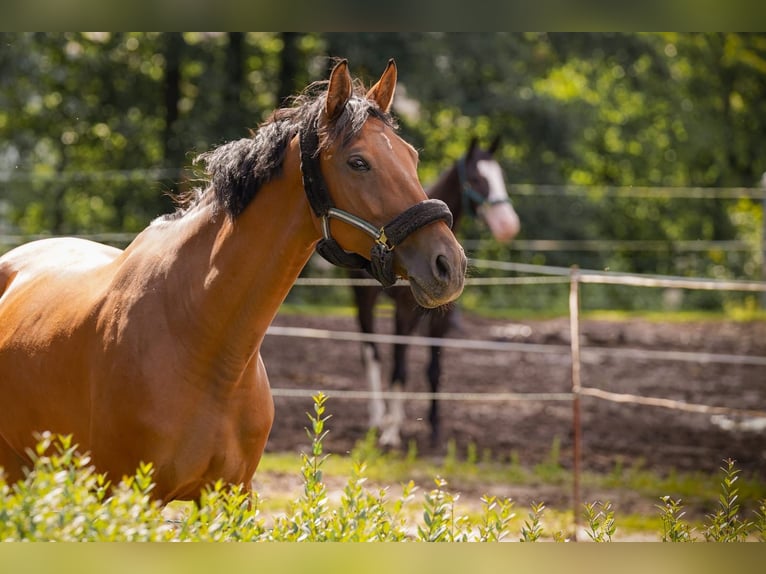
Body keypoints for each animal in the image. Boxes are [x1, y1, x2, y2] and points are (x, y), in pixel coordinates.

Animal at [0, 59, 466, 502]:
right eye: (358, 162)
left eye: (412, 157)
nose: (449, 264)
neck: (202, 338)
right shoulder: (127, 496)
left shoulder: (233, 495)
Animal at [351, 137, 519, 448]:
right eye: (476, 178)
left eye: (500, 177)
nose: (508, 225)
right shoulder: (405, 309)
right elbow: (399, 367)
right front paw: (392, 433)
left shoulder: (441, 316)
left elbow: (434, 369)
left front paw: (434, 428)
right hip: (363, 296)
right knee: (372, 354)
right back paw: (378, 418)